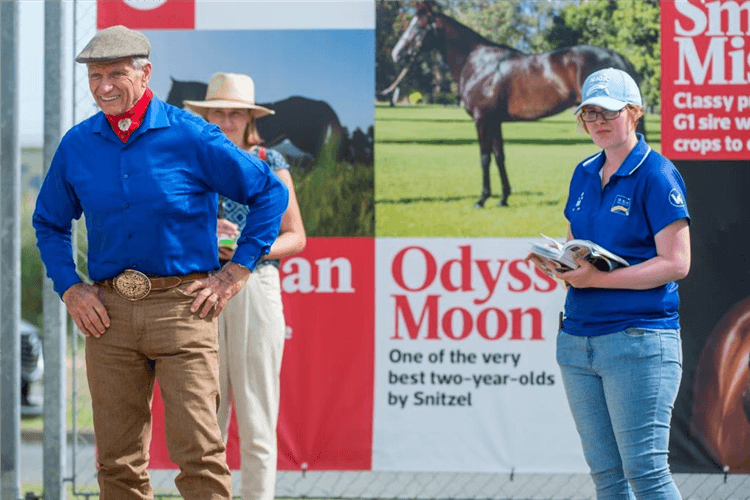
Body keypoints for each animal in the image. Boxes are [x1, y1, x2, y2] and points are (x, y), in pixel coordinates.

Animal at [394, 0, 648, 206]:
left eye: (418, 26)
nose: (397, 54)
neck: (478, 63)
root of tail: (619, 58)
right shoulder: (494, 121)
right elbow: (499, 156)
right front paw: (503, 198)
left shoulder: (482, 119)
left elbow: (484, 157)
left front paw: (482, 199)